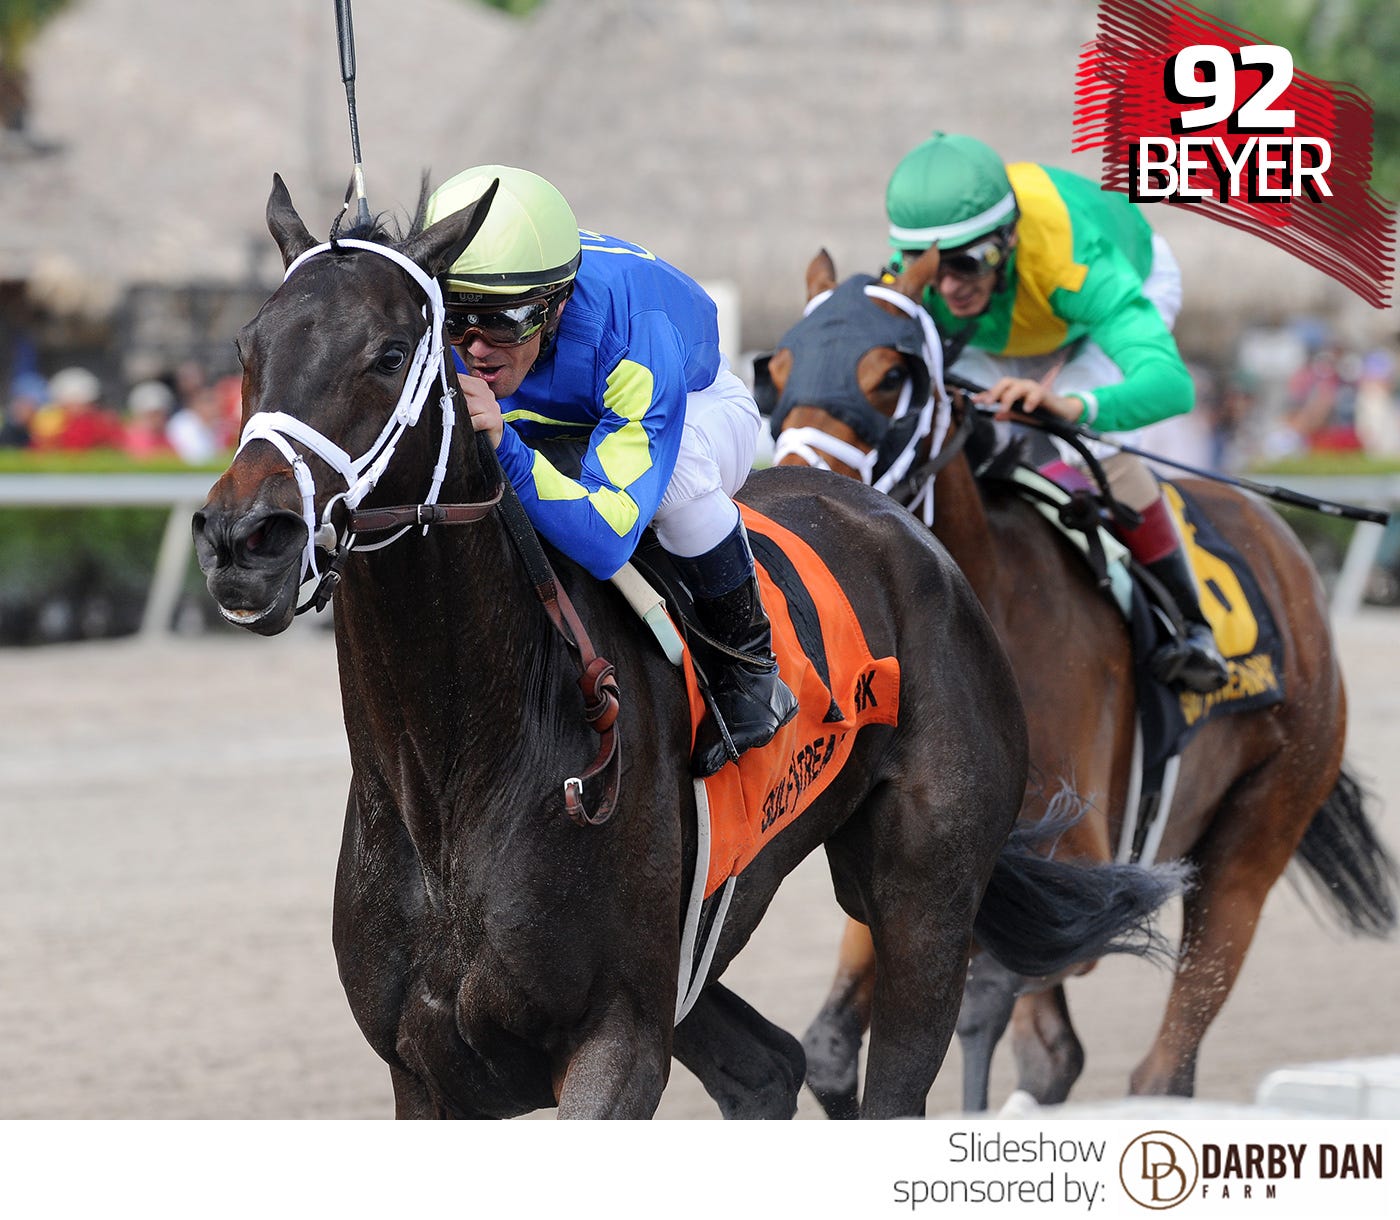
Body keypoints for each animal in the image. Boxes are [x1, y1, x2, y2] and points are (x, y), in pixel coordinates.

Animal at [191, 177, 1182, 1119]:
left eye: (391, 355)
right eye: (247, 348)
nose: (246, 538)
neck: (456, 774)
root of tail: (903, 526)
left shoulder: (620, 1040)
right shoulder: (424, 1071)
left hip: (923, 900)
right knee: (771, 1066)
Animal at [769, 247, 1398, 1117]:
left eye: (890, 377)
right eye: (776, 369)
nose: (796, 494)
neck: (986, 607)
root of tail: (1286, 549)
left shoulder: (1081, 863)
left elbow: (984, 1006)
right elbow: (833, 1047)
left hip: (1254, 840)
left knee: (1164, 1062)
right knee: (1062, 1056)